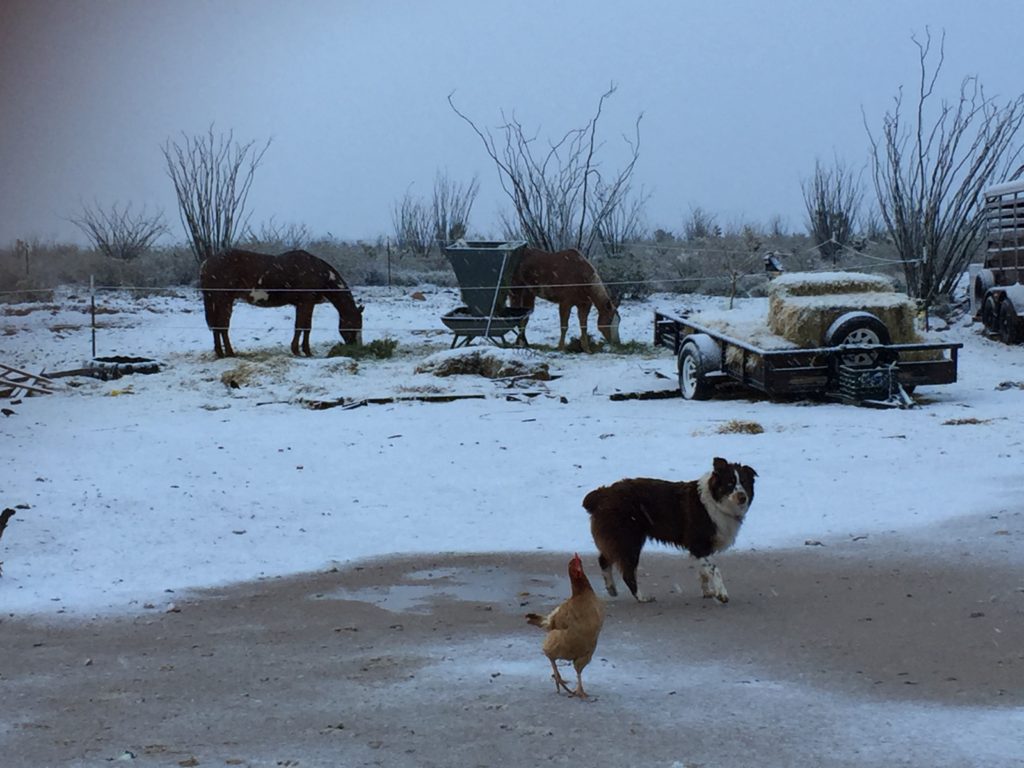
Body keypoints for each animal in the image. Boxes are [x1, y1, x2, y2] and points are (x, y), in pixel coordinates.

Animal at [197, 249, 362, 358]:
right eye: (354, 324)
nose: (357, 347)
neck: (319, 273)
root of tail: (206, 263)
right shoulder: (306, 303)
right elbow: (303, 327)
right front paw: (302, 351)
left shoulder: (303, 304)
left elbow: (303, 326)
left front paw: (301, 350)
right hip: (224, 300)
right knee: (222, 326)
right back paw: (230, 353)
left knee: (218, 326)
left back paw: (221, 352)